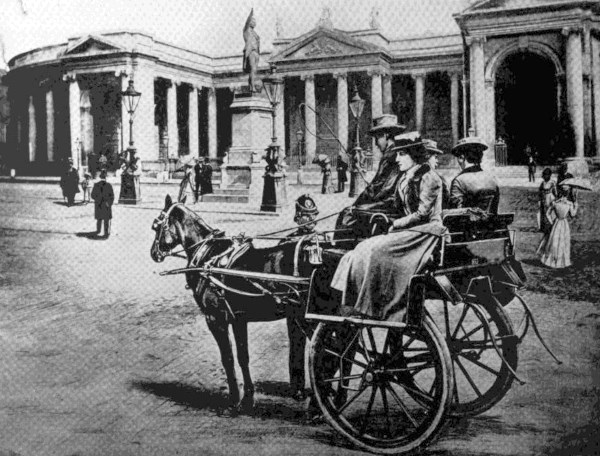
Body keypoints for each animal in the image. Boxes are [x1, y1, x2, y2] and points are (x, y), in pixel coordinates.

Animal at [150, 195, 314, 414]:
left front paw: (234, 400)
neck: (209, 256)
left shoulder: (215, 319)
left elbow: (227, 358)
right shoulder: (238, 319)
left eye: (157, 224)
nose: (154, 253)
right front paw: (248, 399)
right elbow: (243, 357)